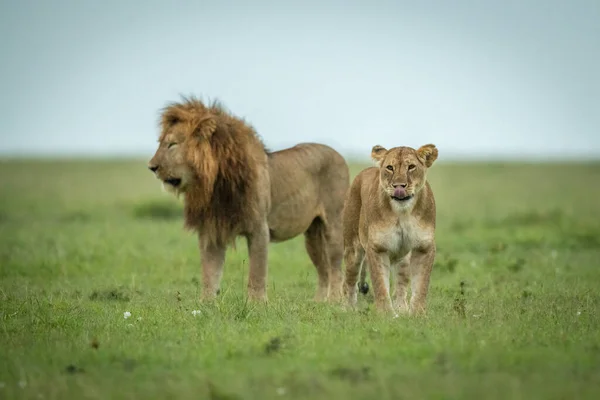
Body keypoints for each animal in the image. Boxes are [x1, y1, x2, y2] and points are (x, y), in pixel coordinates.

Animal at [147, 97, 350, 304]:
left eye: (172, 144)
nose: (151, 167)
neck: (215, 183)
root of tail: (339, 155)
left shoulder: (259, 228)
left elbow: (257, 271)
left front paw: (257, 304)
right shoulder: (212, 229)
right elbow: (210, 272)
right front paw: (206, 303)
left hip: (334, 223)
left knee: (335, 266)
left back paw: (334, 301)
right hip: (312, 234)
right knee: (323, 269)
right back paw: (319, 302)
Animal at [342, 144, 440, 316]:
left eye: (411, 167)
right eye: (390, 168)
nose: (399, 186)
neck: (403, 213)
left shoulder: (424, 247)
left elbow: (421, 284)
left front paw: (417, 314)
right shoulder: (377, 247)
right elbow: (380, 284)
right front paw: (386, 314)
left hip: (404, 259)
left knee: (401, 283)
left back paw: (402, 309)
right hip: (353, 249)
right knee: (349, 280)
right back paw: (348, 309)